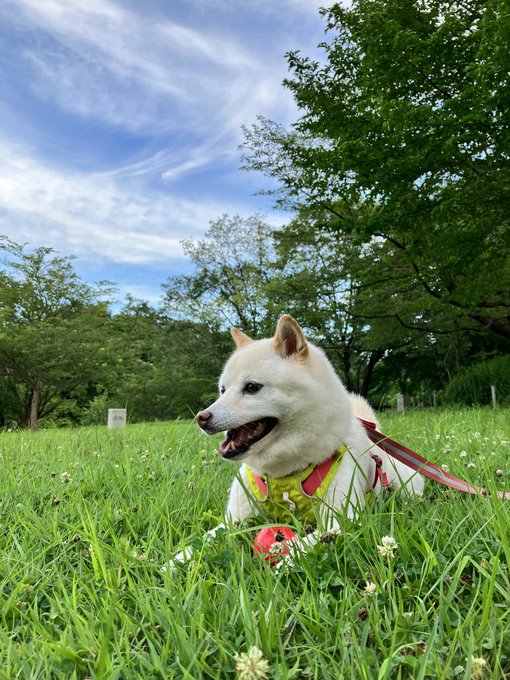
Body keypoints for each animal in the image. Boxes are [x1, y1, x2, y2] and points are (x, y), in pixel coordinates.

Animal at [183, 316, 422, 560]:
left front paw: (281, 565)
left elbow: (298, 550)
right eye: (223, 390)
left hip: (407, 485)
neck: (284, 476)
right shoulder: (234, 520)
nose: (201, 418)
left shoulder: (338, 520)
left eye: (252, 387)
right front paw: (174, 562)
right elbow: (196, 545)